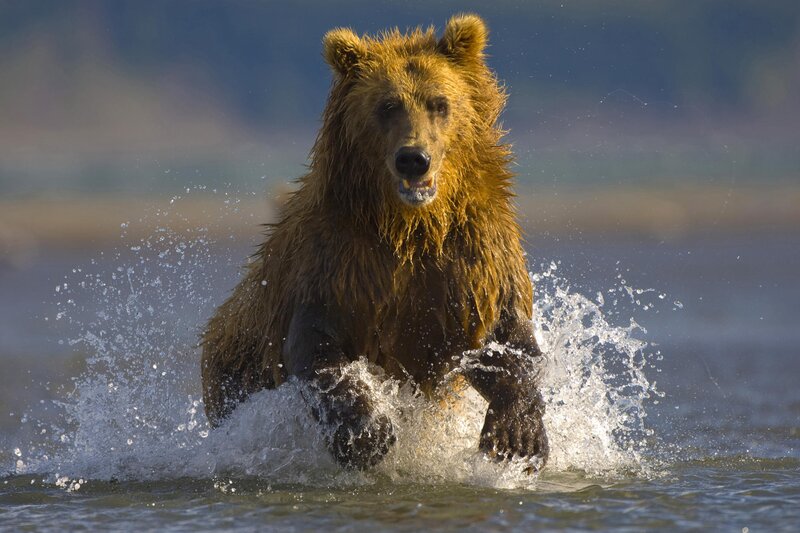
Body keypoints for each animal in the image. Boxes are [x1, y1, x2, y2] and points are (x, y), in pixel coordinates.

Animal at [201, 14, 549, 471]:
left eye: (439, 103)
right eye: (387, 106)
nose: (413, 158)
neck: (411, 227)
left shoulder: (472, 254)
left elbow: (504, 340)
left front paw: (517, 437)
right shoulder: (339, 262)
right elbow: (316, 348)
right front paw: (368, 434)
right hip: (236, 366)